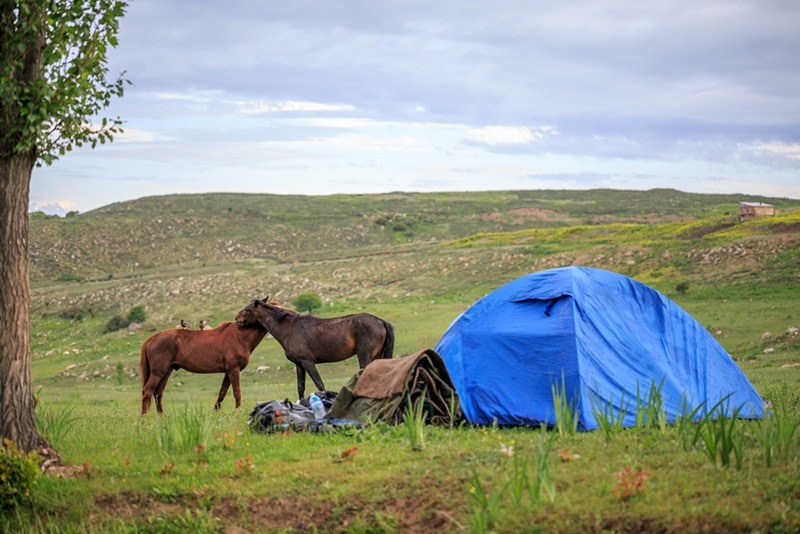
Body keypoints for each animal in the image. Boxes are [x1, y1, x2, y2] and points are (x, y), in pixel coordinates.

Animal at [236, 300, 396, 400]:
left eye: (247, 309)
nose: (237, 318)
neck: (290, 329)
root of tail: (381, 321)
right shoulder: (299, 365)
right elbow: (300, 387)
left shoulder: (308, 362)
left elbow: (320, 385)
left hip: (364, 356)